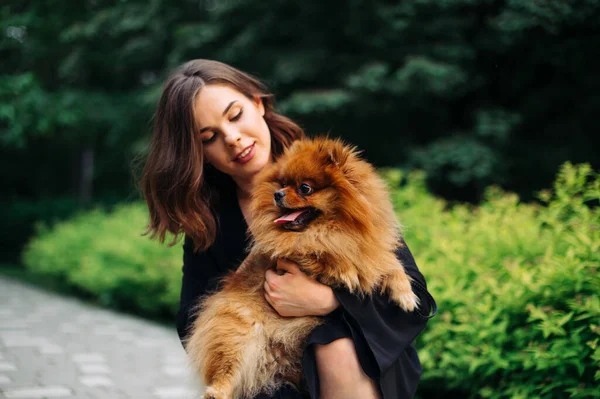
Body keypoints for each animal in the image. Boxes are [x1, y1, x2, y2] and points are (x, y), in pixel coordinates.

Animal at [186, 138, 418, 399]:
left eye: (304, 188)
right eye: (283, 184)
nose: (277, 194)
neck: (337, 229)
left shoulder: (369, 248)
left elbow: (389, 263)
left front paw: (406, 295)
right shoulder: (299, 251)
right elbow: (320, 255)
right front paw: (345, 271)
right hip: (237, 332)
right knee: (227, 369)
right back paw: (217, 392)